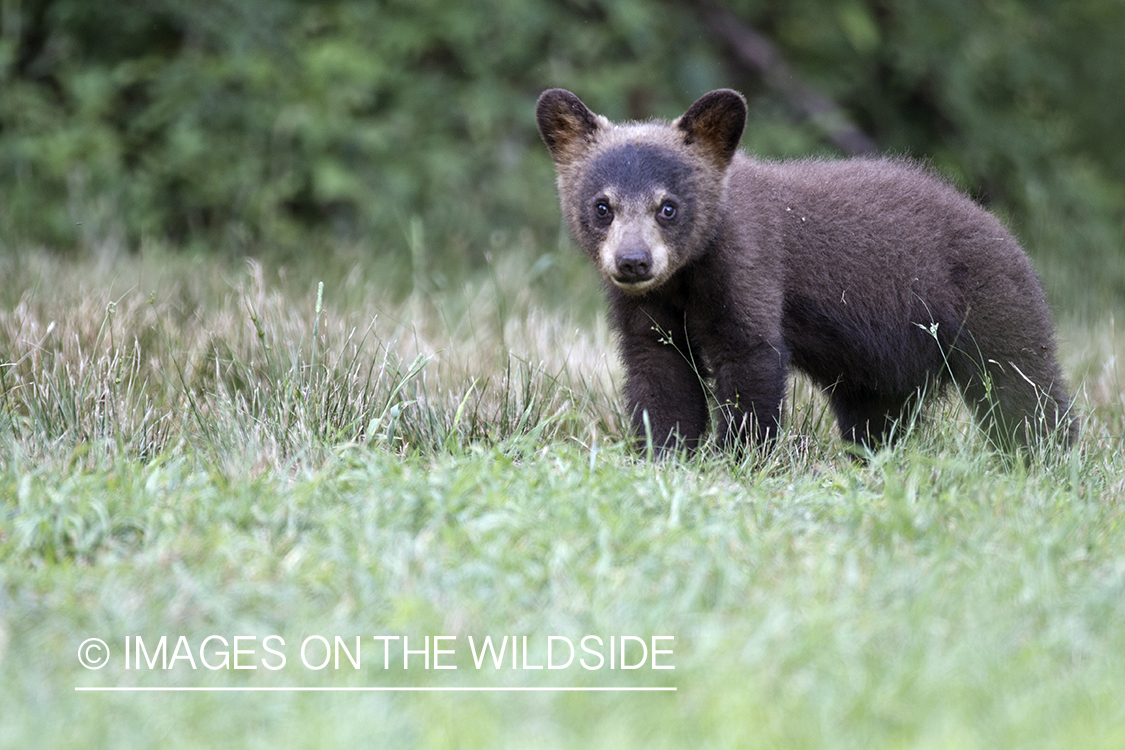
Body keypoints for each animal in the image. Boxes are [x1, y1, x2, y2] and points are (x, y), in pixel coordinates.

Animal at [535, 87, 1077, 456]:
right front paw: (665, 453)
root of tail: (1004, 233)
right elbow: (659, 371)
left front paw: (739, 458)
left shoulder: (749, 266)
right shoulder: (649, 308)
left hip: (992, 307)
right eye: (602, 206)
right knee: (877, 416)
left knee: (1024, 390)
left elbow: (750, 360)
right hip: (875, 368)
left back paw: (1048, 459)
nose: (633, 262)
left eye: (668, 207)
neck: (685, 280)